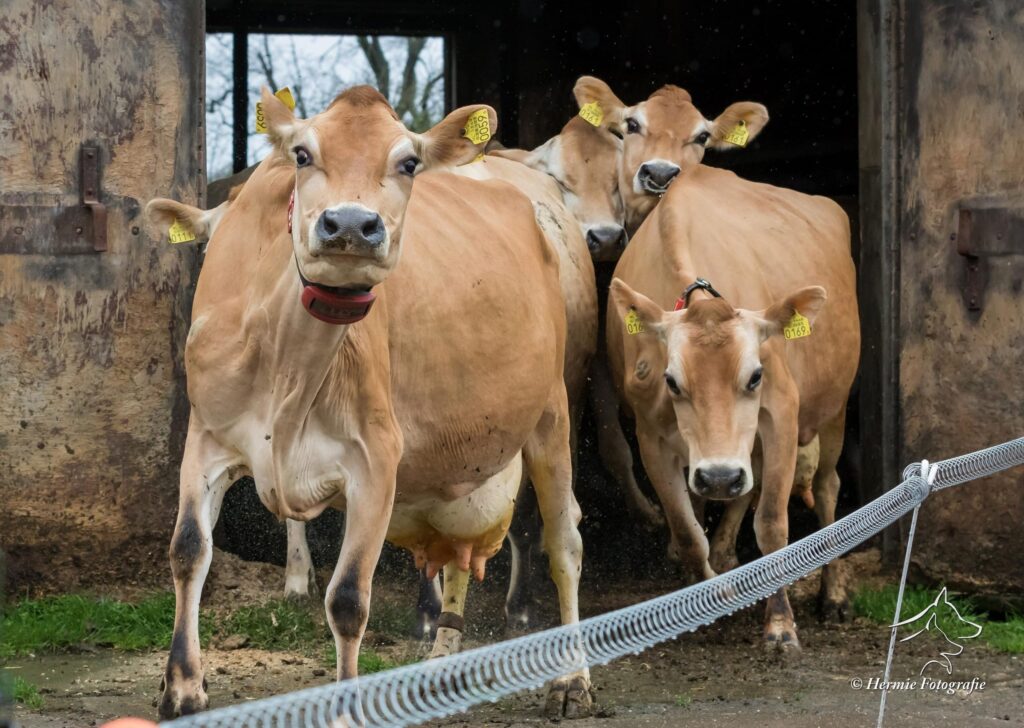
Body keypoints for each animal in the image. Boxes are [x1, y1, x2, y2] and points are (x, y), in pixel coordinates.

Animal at [148, 86, 590, 719]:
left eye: (408, 163)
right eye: (302, 153)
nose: (353, 224)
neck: (289, 364)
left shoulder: (375, 461)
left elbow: (349, 598)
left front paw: (345, 707)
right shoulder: (205, 438)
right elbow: (188, 551)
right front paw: (182, 689)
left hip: (552, 410)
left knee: (563, 542)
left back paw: (572, 677)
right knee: (460, 551)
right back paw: (442, 663)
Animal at [606, 88, 859, 650]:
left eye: (756, 375)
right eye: (672, 380)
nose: (720, 475)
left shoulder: (781, 412)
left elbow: (773, 526)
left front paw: (781, 624)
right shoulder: (652, 433)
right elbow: (687, 528)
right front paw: (701, 596)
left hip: (834, 409)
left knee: (825, 489)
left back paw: (833, 594)